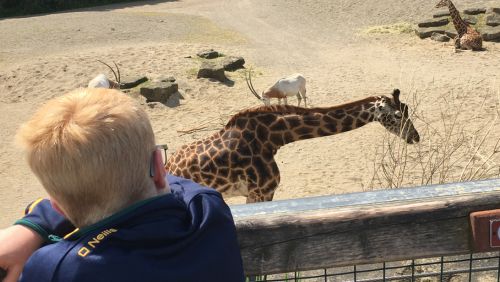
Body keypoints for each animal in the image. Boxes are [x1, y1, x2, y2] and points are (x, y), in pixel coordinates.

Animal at [166, 89, 420, 202]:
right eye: (398, 115)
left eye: (406, 110)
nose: (415, 137)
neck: (273, 137)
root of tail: (168, 165)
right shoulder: (262, 191)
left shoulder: (257, 193)